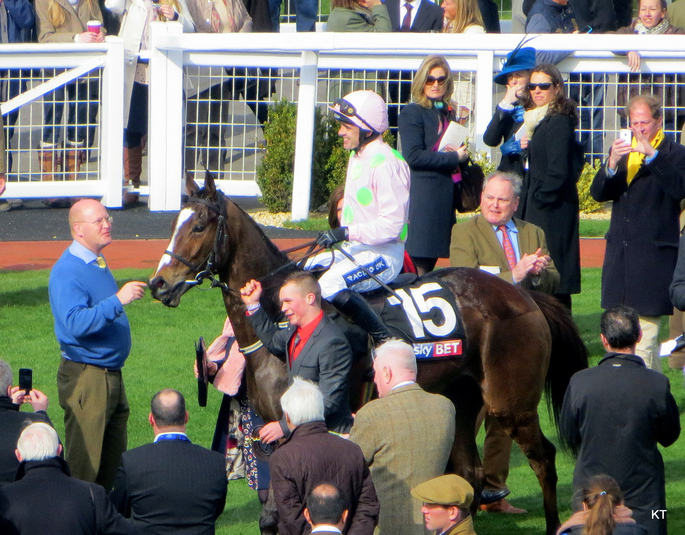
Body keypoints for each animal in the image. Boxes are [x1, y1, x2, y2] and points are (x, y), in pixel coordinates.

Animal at [150, 174, 588, 532]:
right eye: (172, 225)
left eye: (199, 226)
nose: (159, 284)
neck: (279, 316)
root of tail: (524, 296)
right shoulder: (272, 431)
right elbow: (275, 515)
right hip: (460, 399)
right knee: (469, 471)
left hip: (511, 403)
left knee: (544, 459)